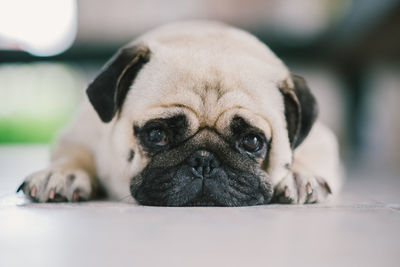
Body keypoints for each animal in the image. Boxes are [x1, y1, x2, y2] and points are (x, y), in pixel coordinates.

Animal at [17, 21, 342, 207]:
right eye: (156, 134)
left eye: (252, 141)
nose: (204, 161)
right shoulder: (82, 131)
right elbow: (73, 153)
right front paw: (62, 174)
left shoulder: (320, 139)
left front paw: (298, 175)